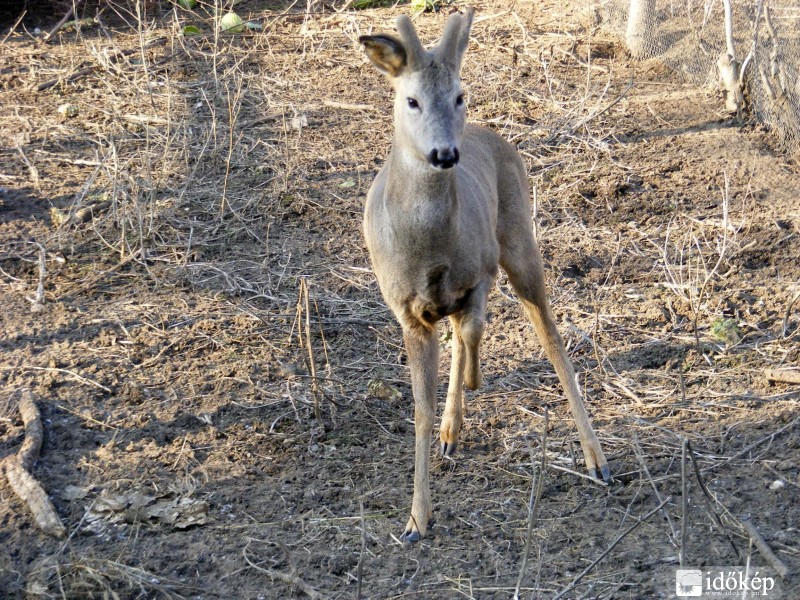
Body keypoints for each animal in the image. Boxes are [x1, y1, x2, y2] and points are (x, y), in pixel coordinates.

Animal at [360, 7, 608, 540]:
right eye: (411, 99)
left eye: (459, 94)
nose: (444, 154)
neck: (430, 250)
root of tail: (489, 136)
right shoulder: (406, 311)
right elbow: (420, 410)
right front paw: (417, 518)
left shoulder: (477, 271)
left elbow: (474, 325)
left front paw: (474, 378)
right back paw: (453, 428)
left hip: (519, 240)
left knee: (548, 335)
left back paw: (597, 459)